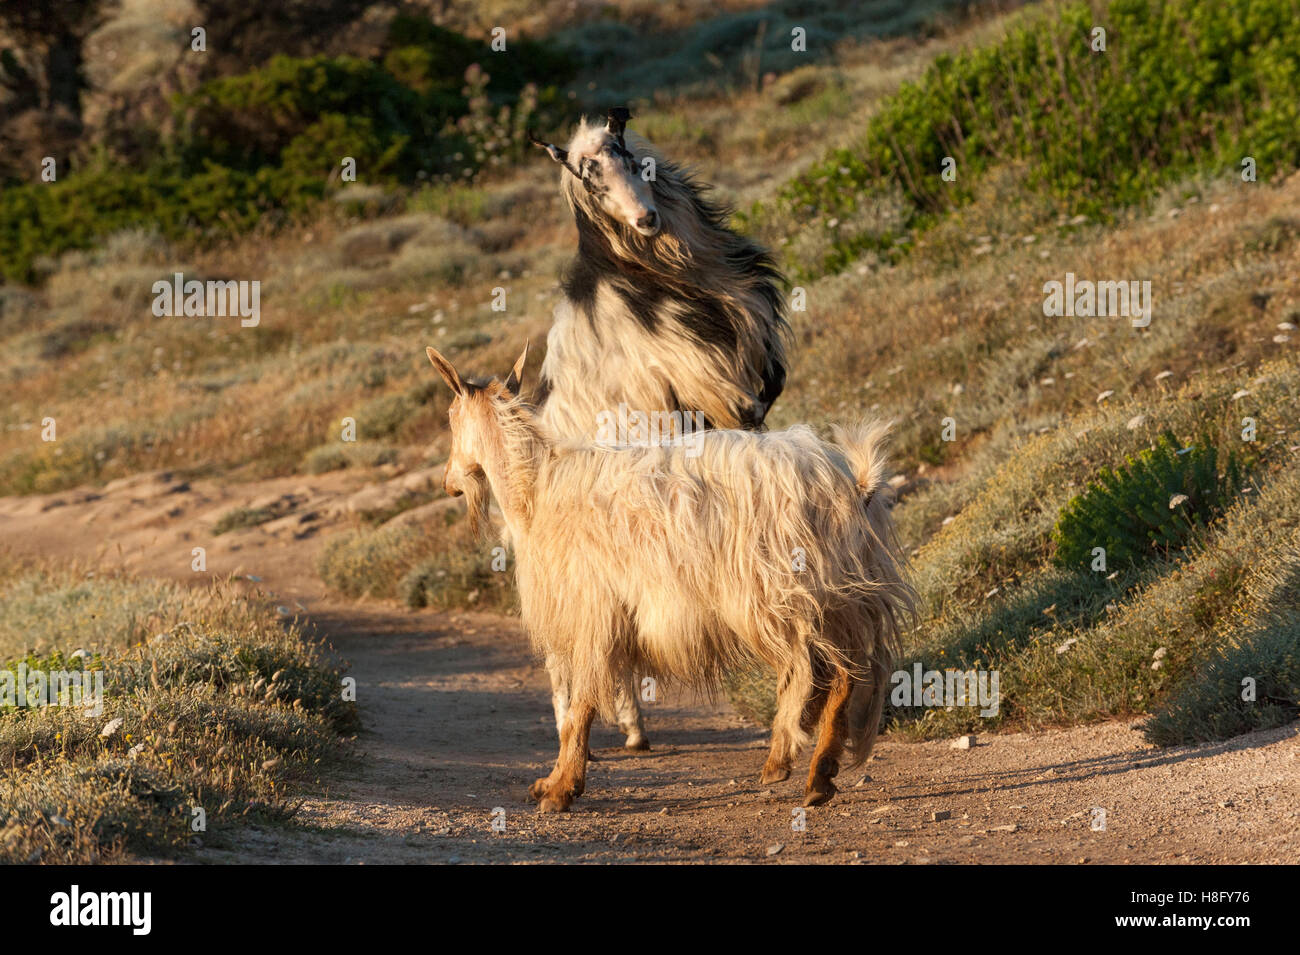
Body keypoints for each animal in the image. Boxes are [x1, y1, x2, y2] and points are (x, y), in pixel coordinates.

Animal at [426, 343, 914, 812]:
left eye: (450, 417)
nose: (448, 482)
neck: (538, 492)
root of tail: (849, 483)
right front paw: (556, 782)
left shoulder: (592, 610)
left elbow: (580, 707)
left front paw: (559, 789)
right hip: (839, 595)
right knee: (849, 672)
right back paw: (820, 777)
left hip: (780, 591)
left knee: (816, 671)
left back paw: (782, 758)